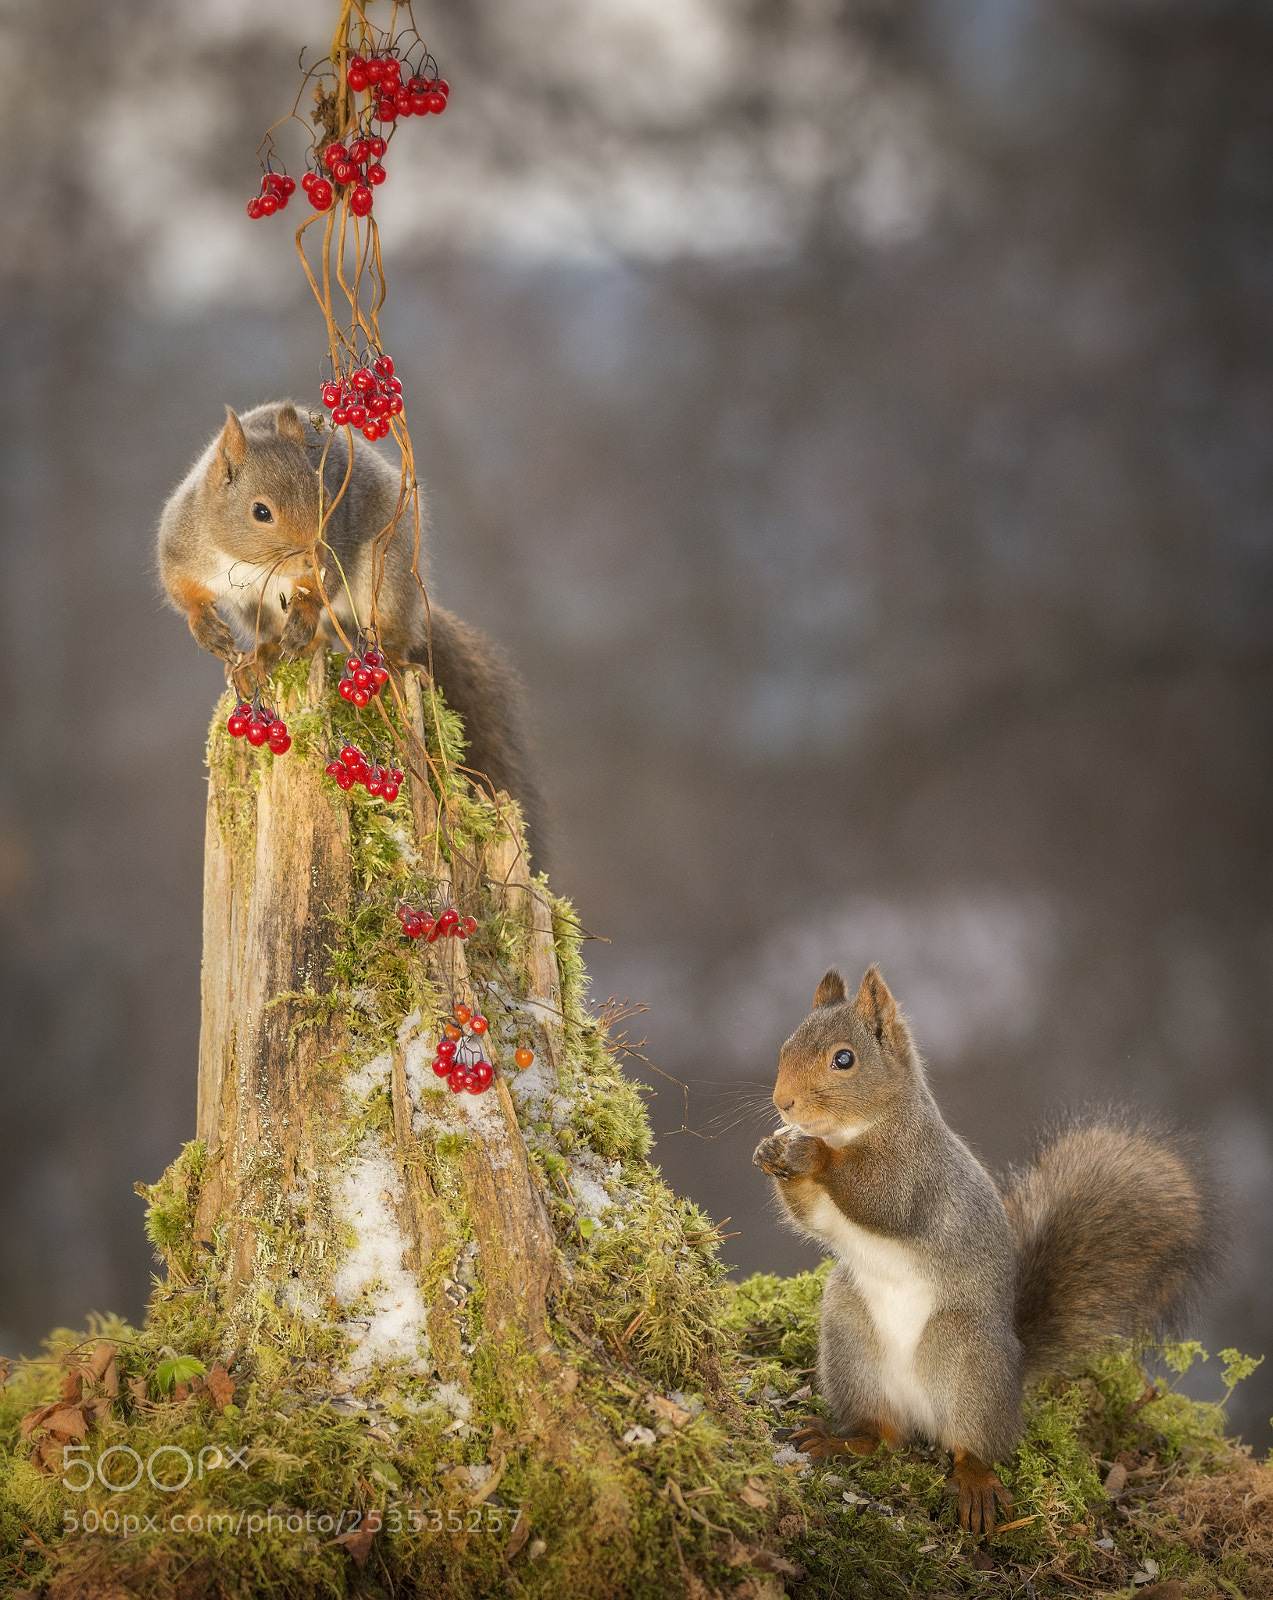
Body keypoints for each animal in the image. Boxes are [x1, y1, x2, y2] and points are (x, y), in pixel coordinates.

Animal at [158, 400, 545, 858]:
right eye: (260, 511)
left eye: (326, 496)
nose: (313, 555)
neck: (247, 561)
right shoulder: (183, 547)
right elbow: (183, 592)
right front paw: (209, 632)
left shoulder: (331, 560)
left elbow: (317, 592)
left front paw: (302, 617)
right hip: (260, 609)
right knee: (305, 639)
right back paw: (260, 658)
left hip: (387, 573)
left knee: (387, 632)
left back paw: (388, 662)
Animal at [752, 964, 1224, 1535]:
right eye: (785, 1046)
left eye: (843, 1059)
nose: (783, 1103)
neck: (859, 1128)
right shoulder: (830, 1209)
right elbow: (813, 1215)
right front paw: (771, 1150)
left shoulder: (918, 1173)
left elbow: (881, 1196)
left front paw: (808, 1152)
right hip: (850, 1341)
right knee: (884, 1437)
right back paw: (842, 1441)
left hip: (968, 1355)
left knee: (974, 1446)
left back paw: (975, 1481)